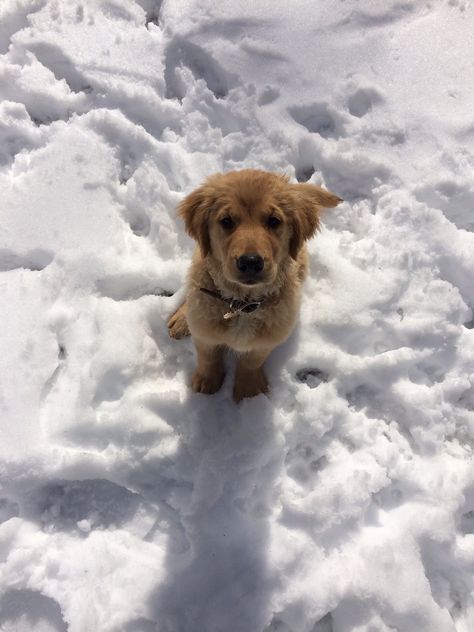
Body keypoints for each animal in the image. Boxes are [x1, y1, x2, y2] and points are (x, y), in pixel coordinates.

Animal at [167, 169, 340, 400]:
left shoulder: (270, 338)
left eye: (274, 221)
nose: (250, 262)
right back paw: (181, 319)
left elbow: (252, 360)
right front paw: (207, 380)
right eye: (226, 221)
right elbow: (208, 355)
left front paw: (248, 388)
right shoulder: (205, 333)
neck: (242, 305)